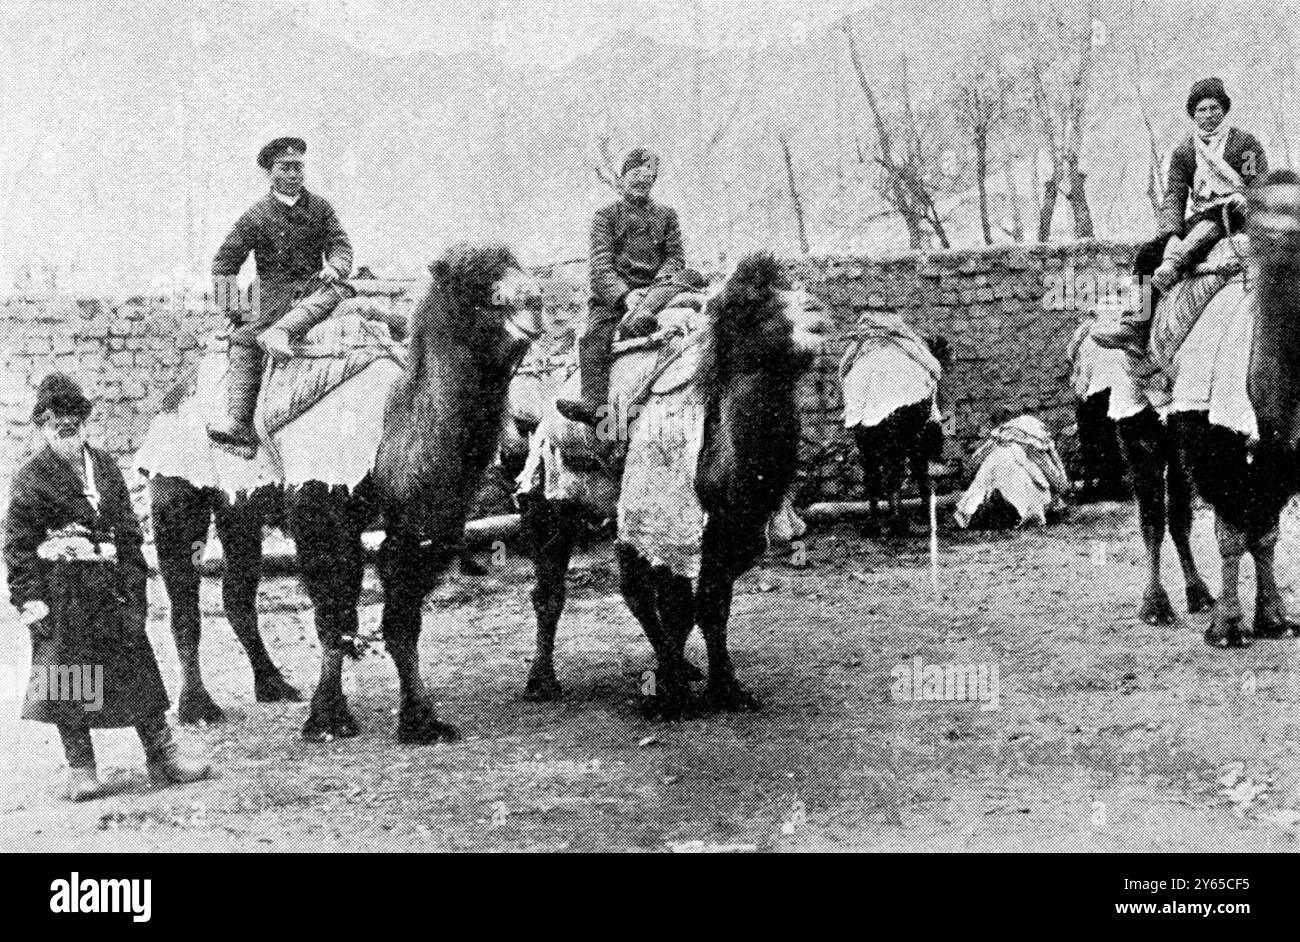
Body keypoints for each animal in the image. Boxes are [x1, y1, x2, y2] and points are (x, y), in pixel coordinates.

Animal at [141, 244, 543, 743]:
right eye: (476, 285)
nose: (535, 301)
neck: (388, 429)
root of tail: (171, 396)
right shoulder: (321, 510)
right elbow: (333, 617)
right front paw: (327, 720)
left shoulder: (423, 524)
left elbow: (402, 623)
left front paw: (422, 722)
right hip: (176, 488)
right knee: (184, 600)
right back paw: (198, 708)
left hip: (240, 509)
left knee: (238, 593)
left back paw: (274, 686)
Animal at [514, 253, 821, 717]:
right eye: (753, 308)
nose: (817, 312)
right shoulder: (663, 514)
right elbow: (669, 601)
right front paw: (671, 693)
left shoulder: (733, 530)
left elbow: (709, 605)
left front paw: (726, 689)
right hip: (551, 499)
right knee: (553, 589)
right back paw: (541, 682)